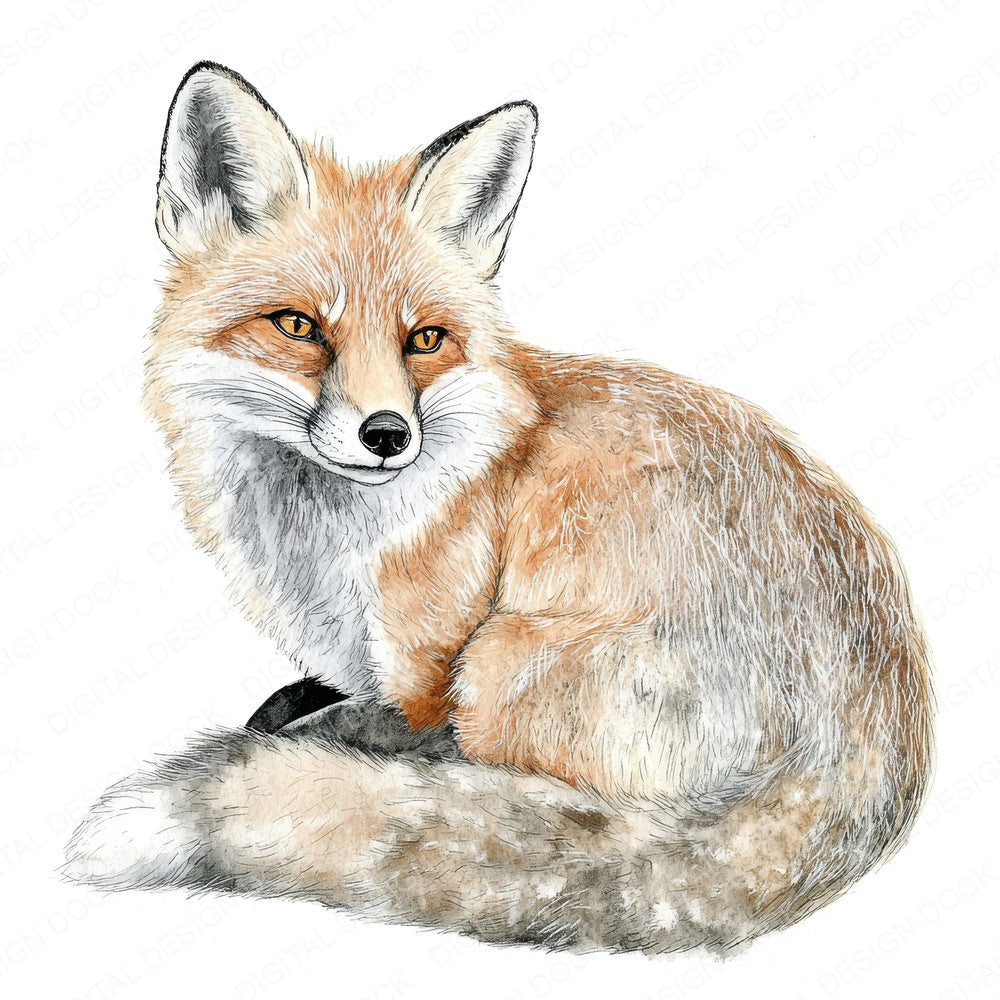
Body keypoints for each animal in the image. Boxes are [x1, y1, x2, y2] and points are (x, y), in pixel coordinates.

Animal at [64, 61, 933, 954]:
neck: (328, 537)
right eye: (299, 326)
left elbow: (404, 731)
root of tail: (877, 735)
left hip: (502, 658)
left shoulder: (432, 659)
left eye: (424, 339)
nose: (388, 434)